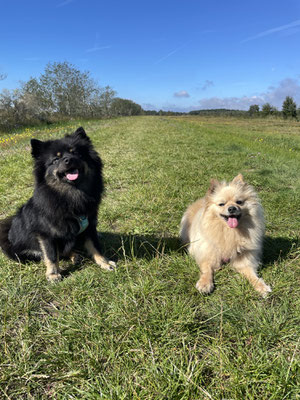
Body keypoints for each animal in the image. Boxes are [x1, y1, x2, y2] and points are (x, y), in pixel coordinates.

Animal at [0, 126, 116, 280]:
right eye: (56, 159)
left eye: (76, 153)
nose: (68, 160)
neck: (71, 194)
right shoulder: (45, 235)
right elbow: (51, 255)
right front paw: (53, 274)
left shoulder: (90, 225)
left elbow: (95, 246)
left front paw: (104, 262)